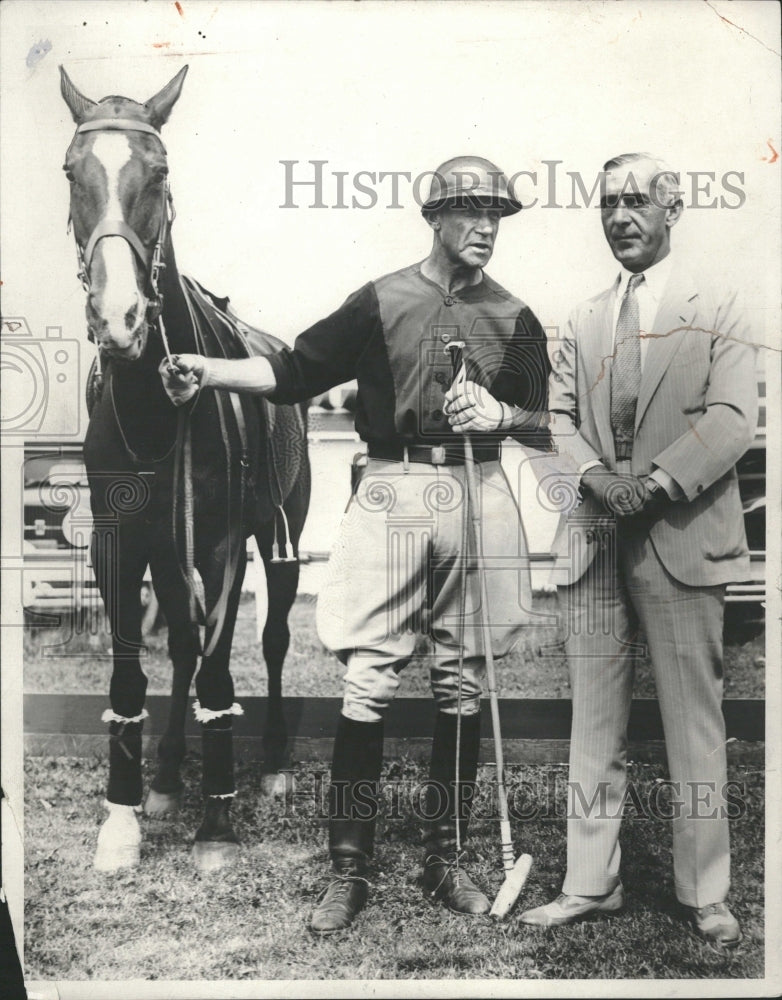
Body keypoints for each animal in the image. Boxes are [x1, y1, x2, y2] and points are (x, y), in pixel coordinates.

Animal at [59, 66, 310, 872]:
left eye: (159, 173)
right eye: (72, 173)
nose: (120, 319)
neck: (154, 410)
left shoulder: (224, 545)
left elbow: (222, 664)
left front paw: (218, 824)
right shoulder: (120, 542)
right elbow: (134, 670)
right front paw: (124, 814)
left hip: (282, 536)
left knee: (271, 641)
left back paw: (273, 766)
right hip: (171, 549)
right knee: (178, 644)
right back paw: (168, 774)